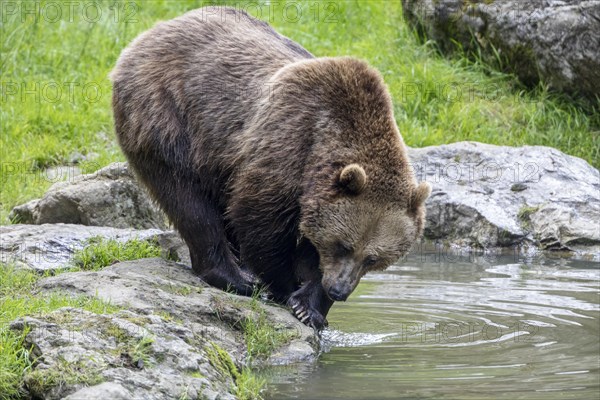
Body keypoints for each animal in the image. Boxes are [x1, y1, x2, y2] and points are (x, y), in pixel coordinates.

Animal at [110, 7, 428, 328]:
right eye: (344, 245)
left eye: (373, 258)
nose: (339, 291)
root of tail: (154, 31)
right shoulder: (287, 143)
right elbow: (259, 220)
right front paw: (285, 288)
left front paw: (311, 306)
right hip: (169, 117)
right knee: (187, 199)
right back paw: (235, 277)